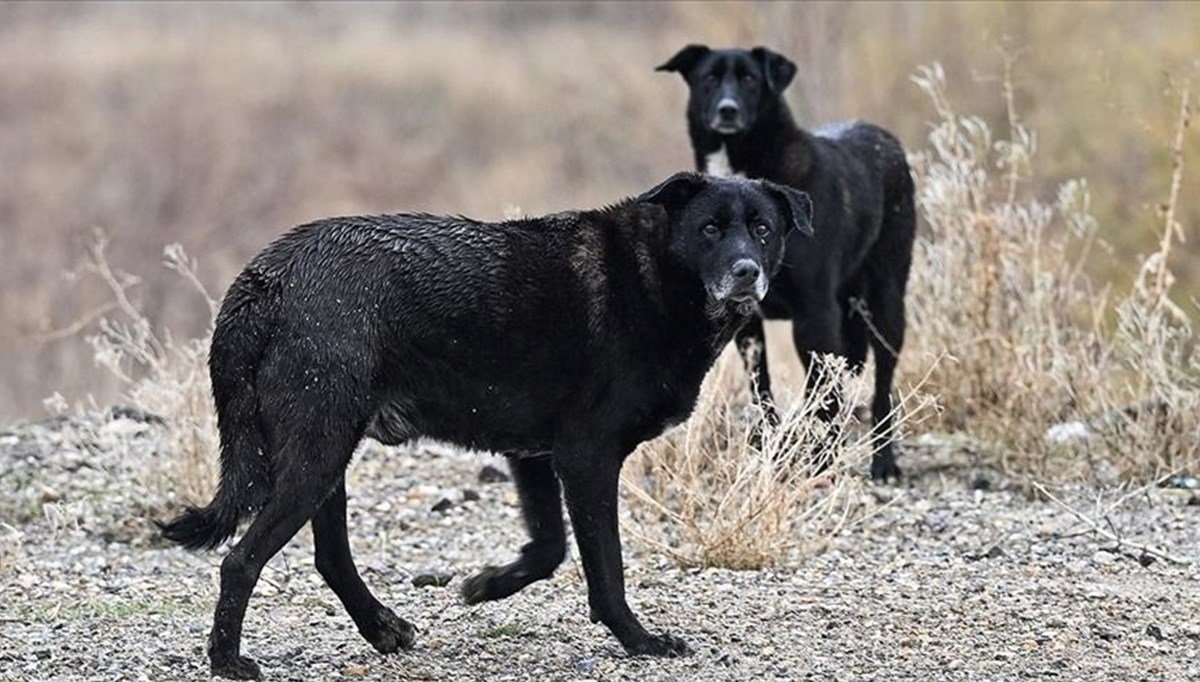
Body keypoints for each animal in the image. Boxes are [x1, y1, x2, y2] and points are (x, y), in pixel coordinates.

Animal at [162, 171, 816, 677]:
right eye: (709, 228)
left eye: (763, 229)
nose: (746, 271)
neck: (654, 277)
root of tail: (266, 276)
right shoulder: (587, 456)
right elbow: (606, 568)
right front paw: (640, 641)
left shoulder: (536, 455)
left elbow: (550, 548)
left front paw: (489, 585)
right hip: (316, 452)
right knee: (241, 561)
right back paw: (227, 661)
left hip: (325, 454)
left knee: (330, 557)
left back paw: (382, 628)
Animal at [662, 43, 912, 480]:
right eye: (709, 78)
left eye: (750, 79)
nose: (727, 110)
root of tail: (885, 137)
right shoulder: (749, 324)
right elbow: (762, 389)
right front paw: (770, 449)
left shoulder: (814, 315)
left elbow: (824, 392)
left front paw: (823, 459)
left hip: (886, 304)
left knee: (882, 385)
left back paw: (883, 461)